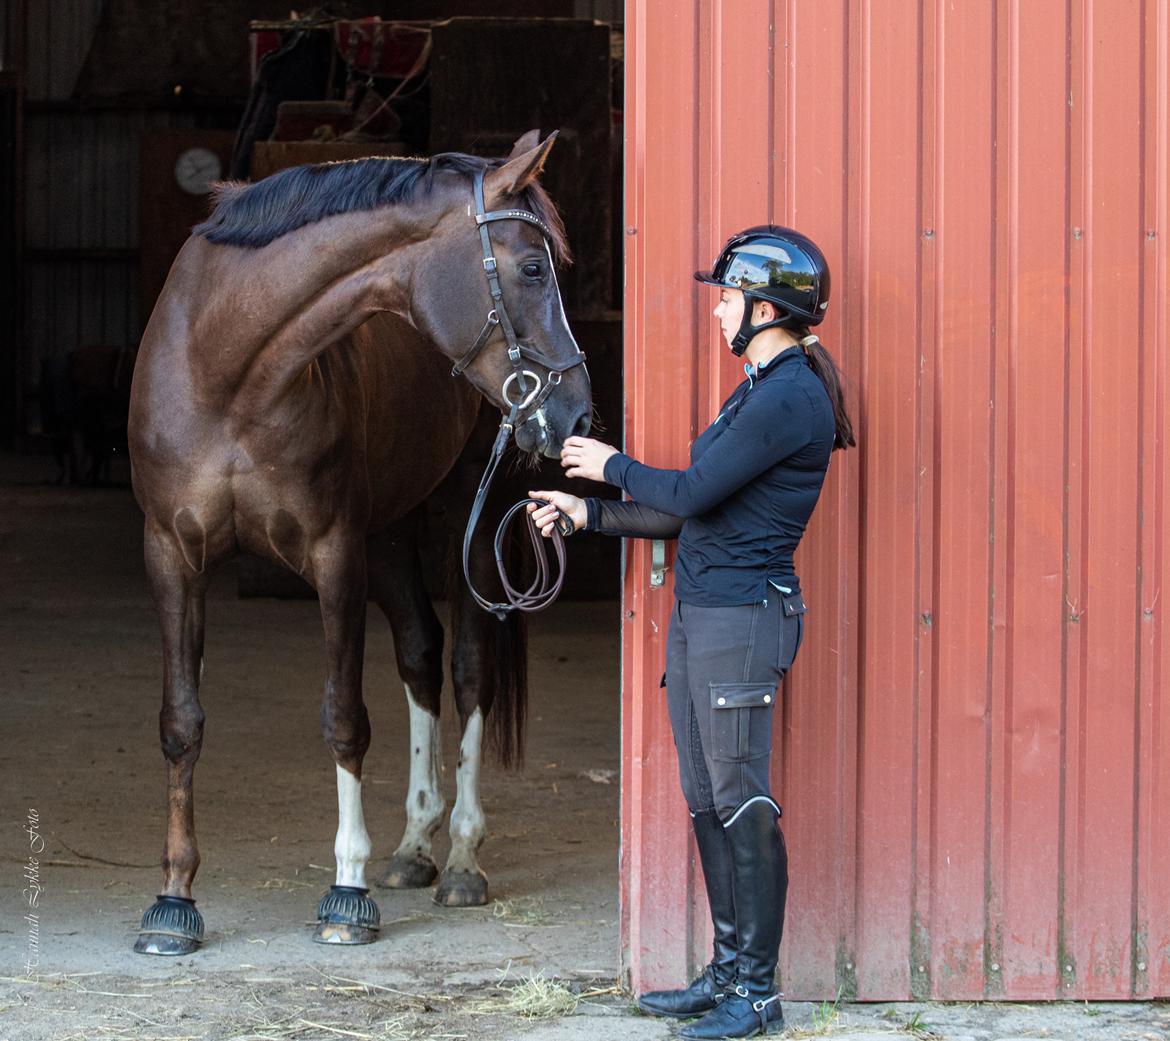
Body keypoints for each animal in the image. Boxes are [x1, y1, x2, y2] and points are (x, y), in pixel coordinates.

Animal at [128, 128, 594, 949]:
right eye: (532, 268)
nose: (576, 412)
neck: (226, 366)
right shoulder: (172, 556)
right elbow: (180, 721)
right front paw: (174, 899)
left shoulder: (333, 552)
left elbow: (344, 717)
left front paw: (345, 890)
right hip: (390, 531)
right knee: (419, 649)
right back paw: (413, 847)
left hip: (466, 516)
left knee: (468, 668)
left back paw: (462, 857)